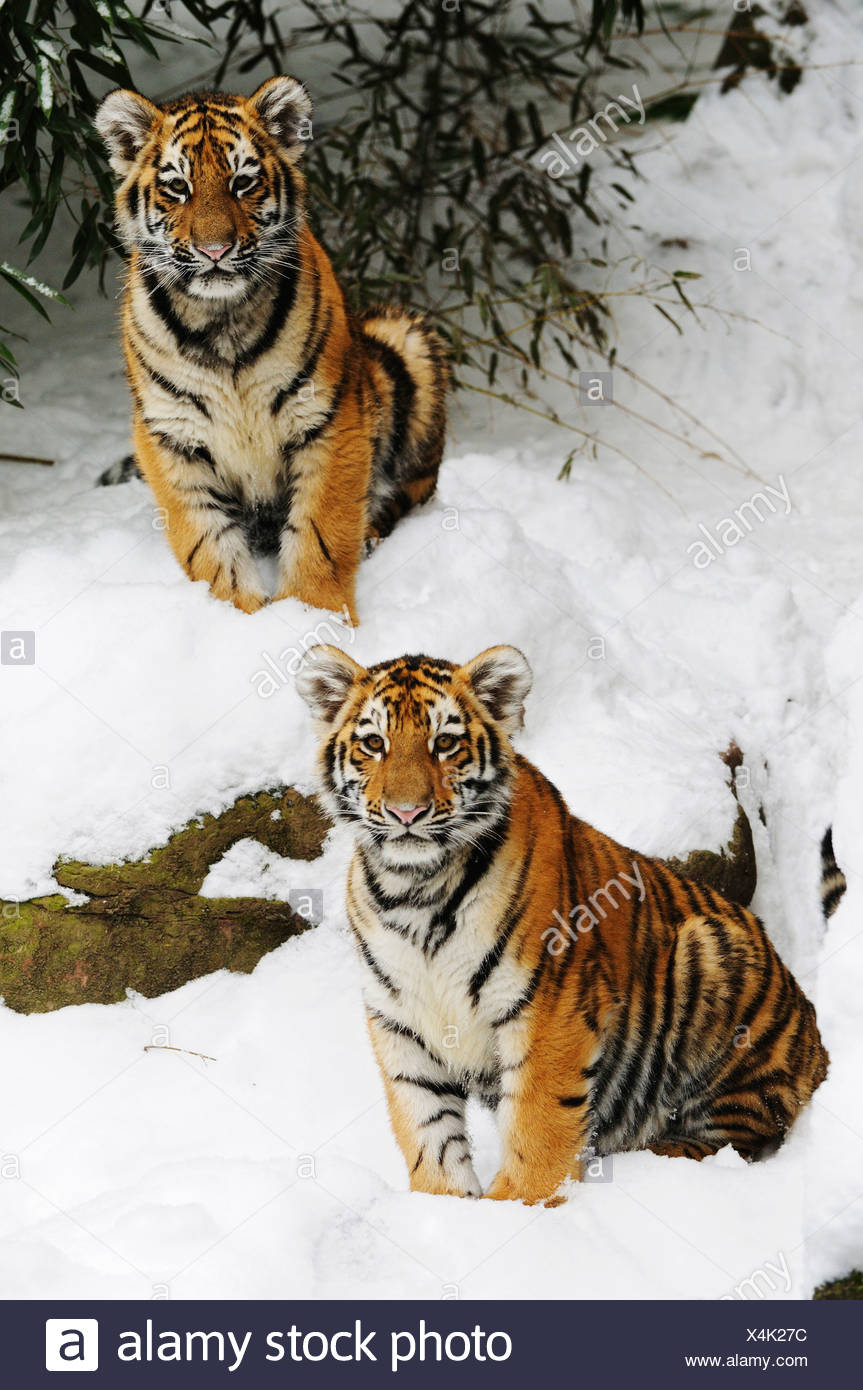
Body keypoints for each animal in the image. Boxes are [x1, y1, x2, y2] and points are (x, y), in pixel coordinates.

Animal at [94, 76, 447, 619]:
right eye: (178, 187)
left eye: (243, 182)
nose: (214, 250)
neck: (221, 321)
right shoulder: (171, 434)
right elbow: (206, 543)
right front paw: (235, 616)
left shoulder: (329, 417)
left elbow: (322, 533)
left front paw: (313, 615)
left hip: (403, 338)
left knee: (413, 490)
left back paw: (370, 532)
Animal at [296, 643, 829, 1205]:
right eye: (374, 743)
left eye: (445, 743)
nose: (406, 813)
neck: (416, 890)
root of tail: (817, 1045)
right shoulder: (401, 1021)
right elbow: (426, 1130)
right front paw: (444, 1207)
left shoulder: (549, 1008)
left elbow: (538, 1122)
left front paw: (516, 1207)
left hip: (713, 959)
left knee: (738, 1135)